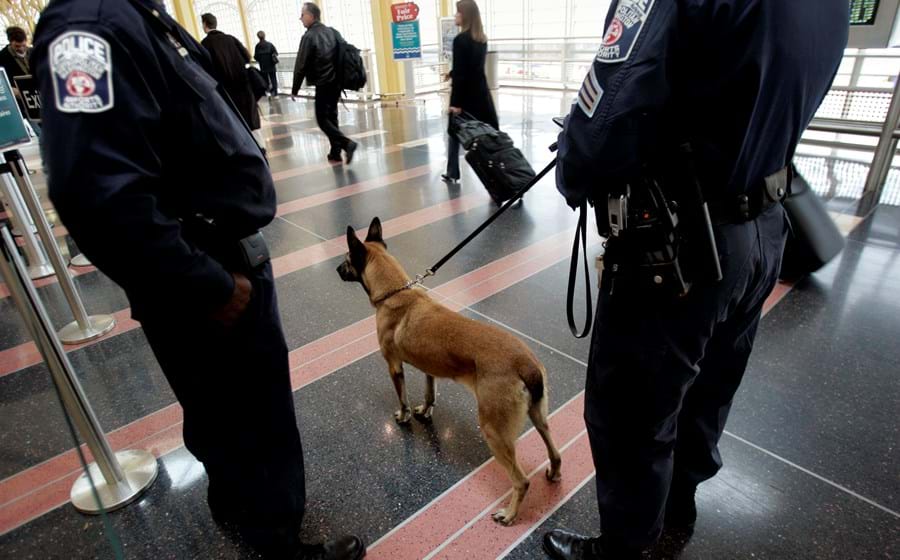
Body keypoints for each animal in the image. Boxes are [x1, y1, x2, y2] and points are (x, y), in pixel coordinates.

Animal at [338, 217, 564, 524]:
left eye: (346, 259)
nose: (336, 269)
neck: (397, 291)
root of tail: (526, 365)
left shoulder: (394, 366)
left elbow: (402, 398)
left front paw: (404, 416)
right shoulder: (429, 368)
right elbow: (430, 393)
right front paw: (425, 411)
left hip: (494, 431)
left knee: (521, 481)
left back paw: (509, 514)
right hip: (538, 416)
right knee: (554, 451)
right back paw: (553, 473)